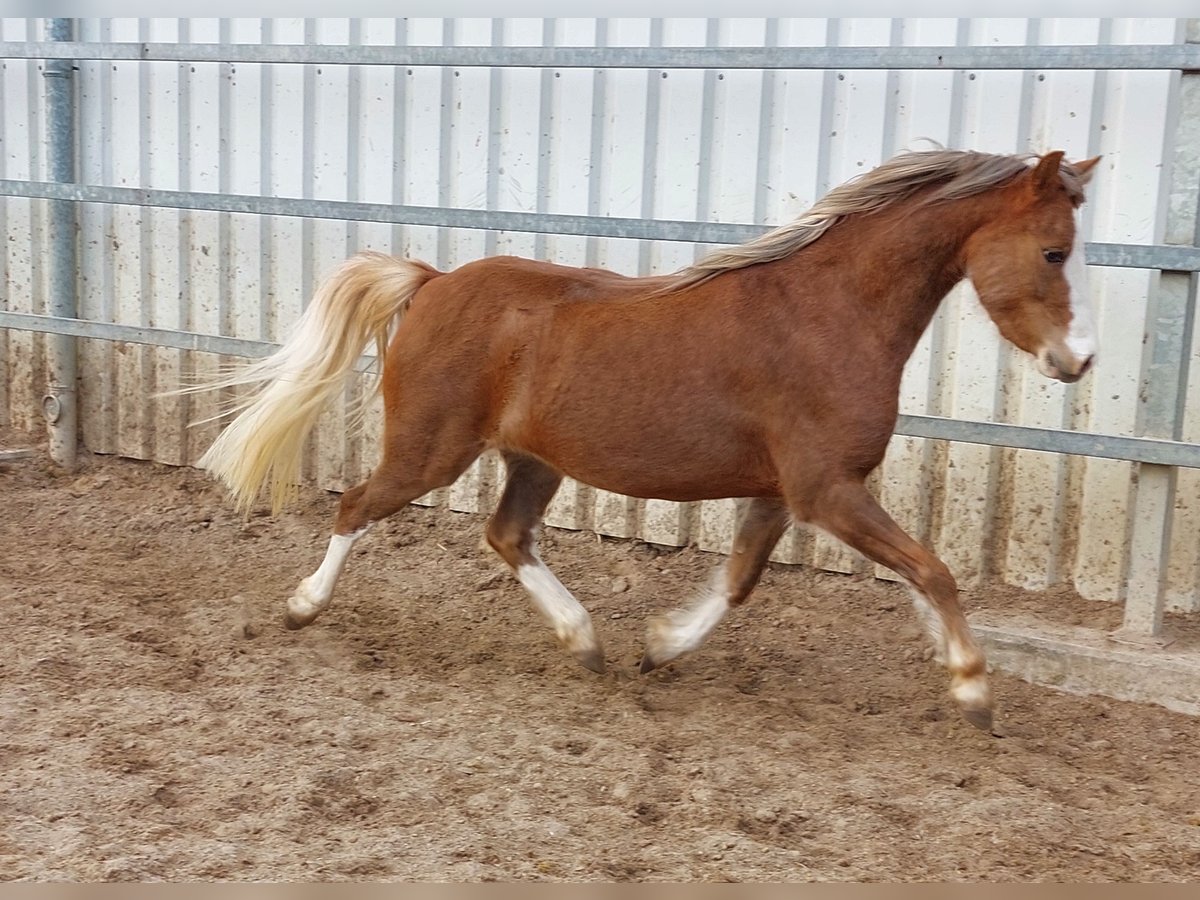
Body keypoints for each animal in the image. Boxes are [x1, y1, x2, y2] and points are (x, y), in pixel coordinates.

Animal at [194, 150, 1099, 734]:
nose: (1078, 361)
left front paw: (659, 648)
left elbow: (741, 582)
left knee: (505, 535)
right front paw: (975, 692)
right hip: (430, 449)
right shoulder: (827, 491)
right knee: (356, 504)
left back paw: (585, 641)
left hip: (533, 461)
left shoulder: (784, 494)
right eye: (1054, 250)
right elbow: (932, 570)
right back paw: (303, 607)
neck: (828, 314)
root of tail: (433, 281)